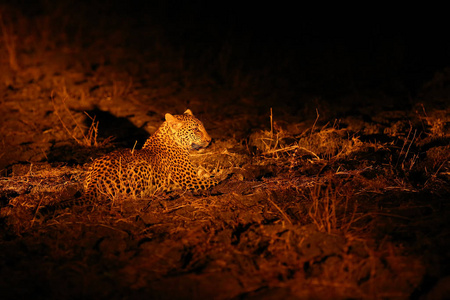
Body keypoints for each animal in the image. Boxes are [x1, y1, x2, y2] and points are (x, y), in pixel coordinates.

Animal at [85, 109, 219, 200]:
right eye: (196, 130)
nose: (210, 140)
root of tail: (95, 180)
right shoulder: (191, 180)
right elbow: (214, 181)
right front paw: (223, 177)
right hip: (143, 167)